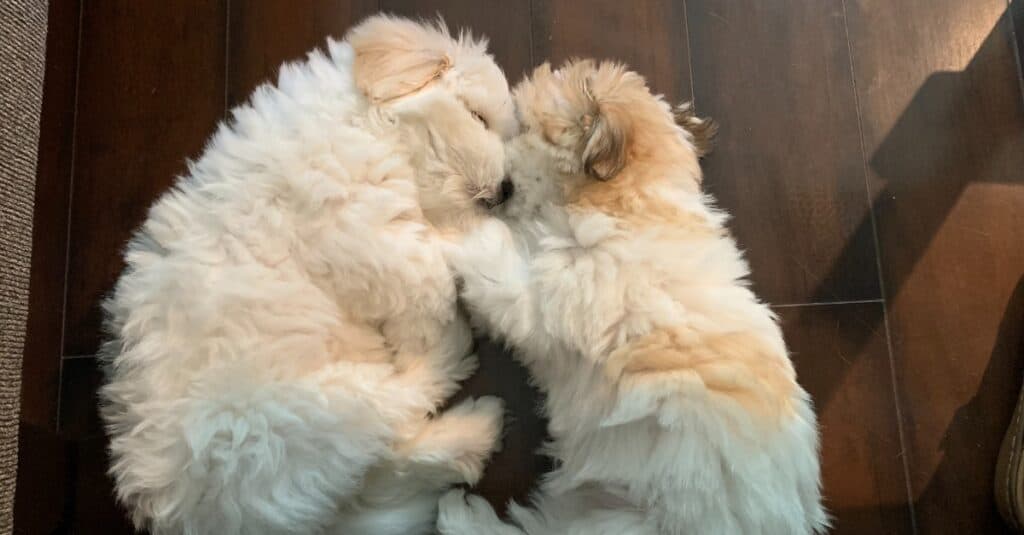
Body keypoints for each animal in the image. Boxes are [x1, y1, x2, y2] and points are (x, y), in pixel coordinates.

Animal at [101, 14, 520, 528]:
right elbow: (426, 273)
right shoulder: (356, 222)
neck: (367, 125)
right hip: (303, 412)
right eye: (478, 117)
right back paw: (455, 370)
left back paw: (471, 437)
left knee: (389, 454)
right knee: (395, 413)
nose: (507, 189)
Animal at [436, 59, 827, 532]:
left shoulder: (542, 301)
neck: (627, 206)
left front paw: (453, 227)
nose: (501, 187)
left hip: (617, 521)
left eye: (526, 127)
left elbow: (490, 261)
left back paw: (459, 514)